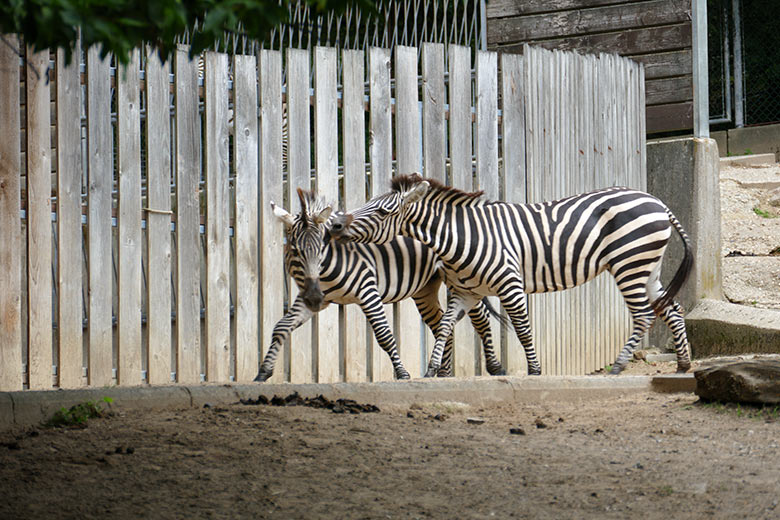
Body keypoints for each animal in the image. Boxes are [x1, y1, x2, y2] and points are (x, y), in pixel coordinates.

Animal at [253, 190, 502, 382]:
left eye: (321, 248)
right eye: (295, 250)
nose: (314, 298)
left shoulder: (367, 290)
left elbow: (384, 335)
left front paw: (402, 374)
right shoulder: (312, 296)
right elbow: (281, 327)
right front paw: (263, 372)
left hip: (464, 280)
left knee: (481, 320)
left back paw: (495, 367)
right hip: (425, 289)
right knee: (441, 323)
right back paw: (443, 373)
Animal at [330, 175, 696, 378]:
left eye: (382, 211)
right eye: (369, 202)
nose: (334, 224)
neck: (462, 237)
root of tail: (657, 201)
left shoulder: (510, 285)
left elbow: (522, 329)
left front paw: (534, 371)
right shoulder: (464, 292)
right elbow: (446, 327)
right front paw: (432, 369)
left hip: (629, 262)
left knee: (644, 315)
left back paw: (619, 365)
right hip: (648, 266)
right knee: (671, 309)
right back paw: (683, 364)